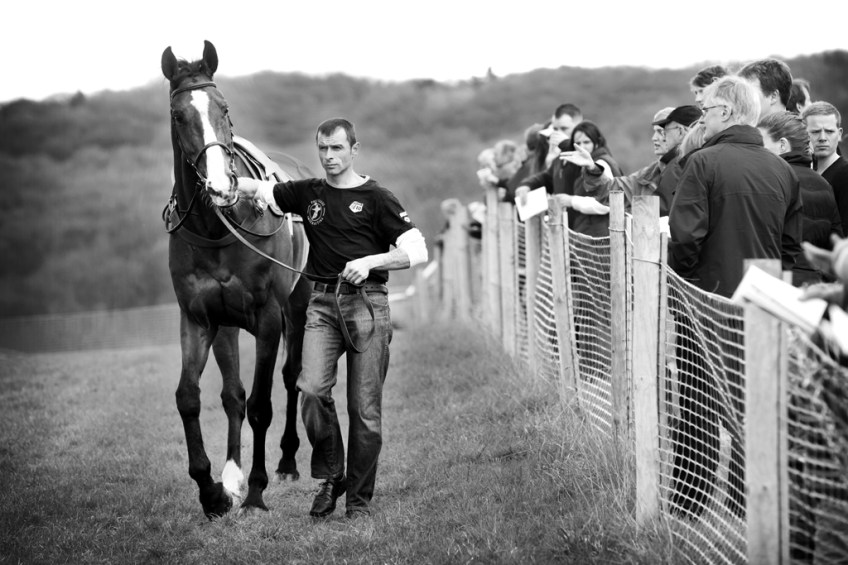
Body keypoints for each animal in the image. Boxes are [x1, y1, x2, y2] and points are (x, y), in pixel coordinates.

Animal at [161, 40, 311, 518]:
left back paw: (285, 462)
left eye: (224, 107)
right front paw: (213, 491)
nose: (221, 184)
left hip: (297, 307)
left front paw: (258, 492)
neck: (217, 226)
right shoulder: (197, 318)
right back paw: (231, 475)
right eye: (178, 115)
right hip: (226, 326)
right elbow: (190, 397)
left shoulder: (268, 318)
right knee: (233, 394)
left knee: (290, 376)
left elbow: (263, 404)